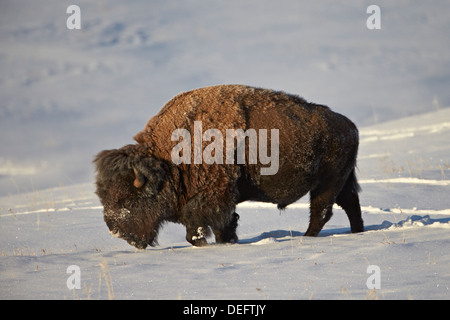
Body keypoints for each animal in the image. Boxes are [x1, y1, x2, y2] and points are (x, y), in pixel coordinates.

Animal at [93, 84, 364, 249]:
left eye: (128, 198)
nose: (117, 231)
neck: (169, 161)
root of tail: (350, 126)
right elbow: (219, 226)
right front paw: (228, 241)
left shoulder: (212, 199)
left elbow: (201, 229)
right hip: (342, 181)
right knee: (350, 204)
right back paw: (357, 233)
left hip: (327, 183)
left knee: (321, 211)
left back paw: (308, 238)